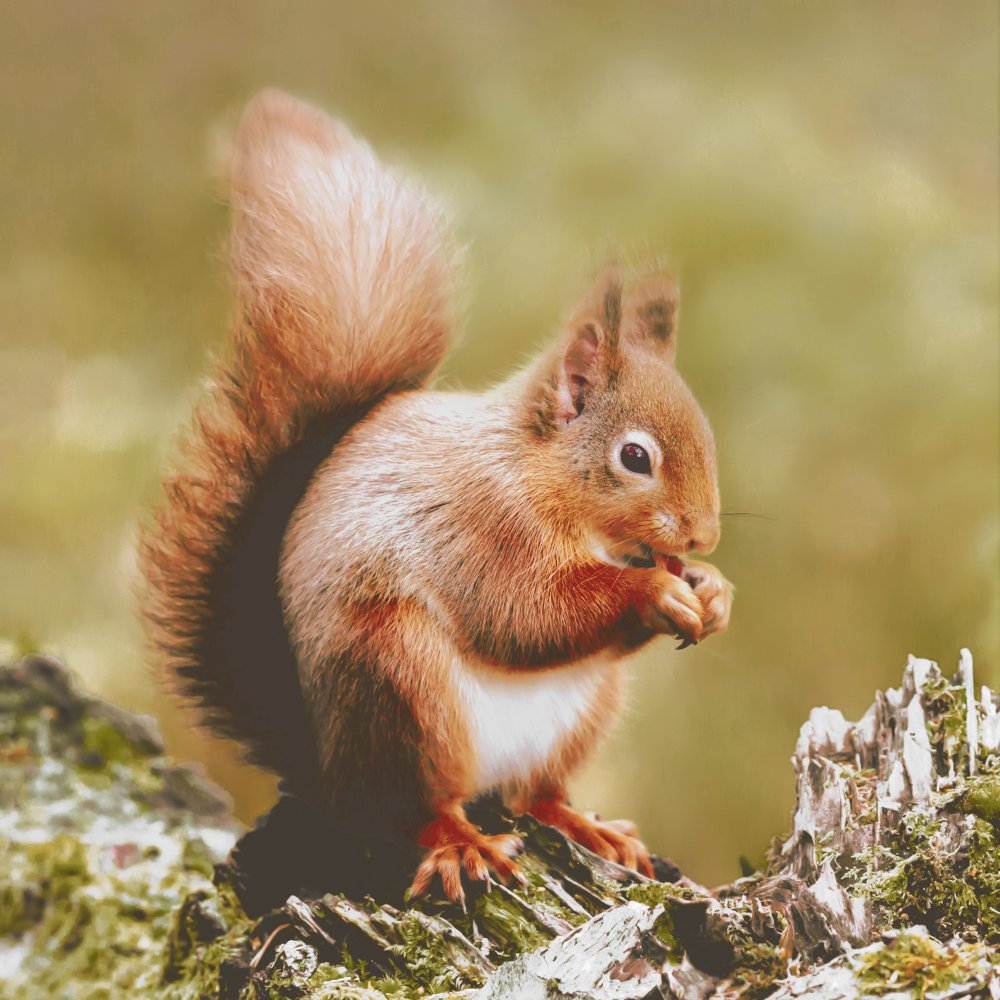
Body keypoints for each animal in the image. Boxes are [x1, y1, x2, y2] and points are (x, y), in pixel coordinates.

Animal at [141, 89, 733, 903]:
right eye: (634, 457)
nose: (703, 536)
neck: (539, 475)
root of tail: (329, 773)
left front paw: (713, 591)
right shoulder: (483, 527)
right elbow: (526, 614)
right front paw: (653, 592)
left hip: (583, 709)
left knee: (534, 793)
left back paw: (590, 828)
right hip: (398, 682)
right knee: (416, 808)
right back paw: (462, 844)